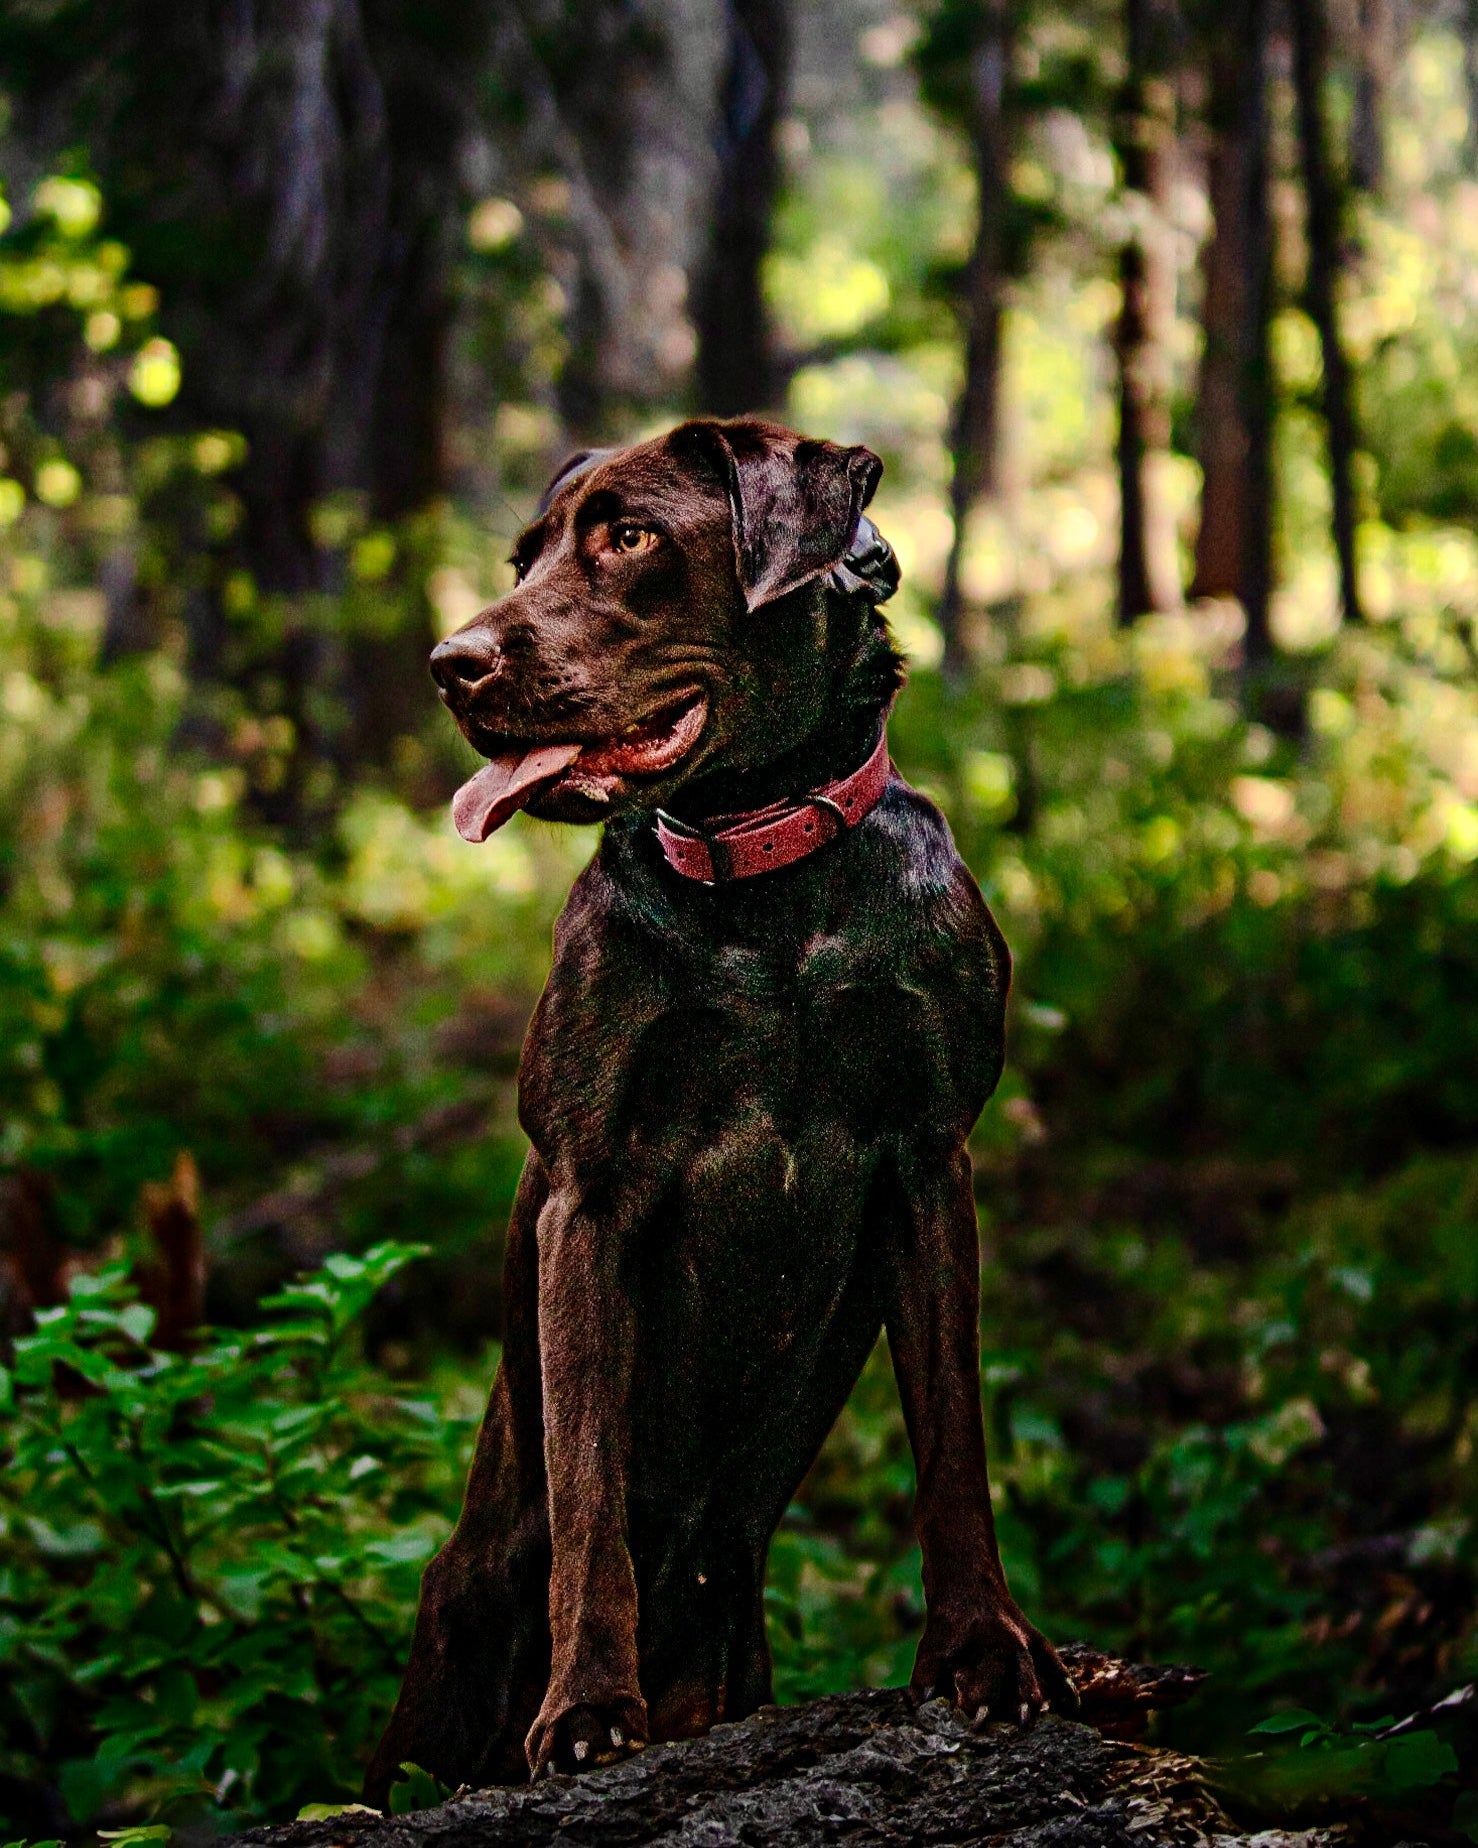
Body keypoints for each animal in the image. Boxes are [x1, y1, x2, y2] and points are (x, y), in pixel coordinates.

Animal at [362, 419, 1071, 1803]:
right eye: (524, 558)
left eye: (629, 537)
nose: (448, 664)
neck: (761, 883)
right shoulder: (588, 1195)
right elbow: (587, 1481)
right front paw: (587, 1707)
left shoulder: (929, 1165)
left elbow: (953, 1441)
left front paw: (981, 1651)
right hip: (450, 1635)